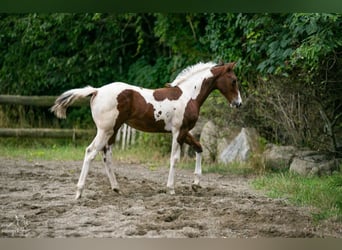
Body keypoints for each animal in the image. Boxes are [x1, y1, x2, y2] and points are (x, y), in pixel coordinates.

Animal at [52, 61, 242, 198]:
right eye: (233, 80)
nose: (238, 103)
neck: (189, 95)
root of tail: (97, 91)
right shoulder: (178, 131)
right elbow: (174, 159)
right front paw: (171, 189)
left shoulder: (185, 131)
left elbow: (199, 147)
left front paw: (195, 184)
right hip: (105, 130)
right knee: (90, 152)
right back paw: (79, 192)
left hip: (112, 131)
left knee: (106, 155)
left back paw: (116, 188)